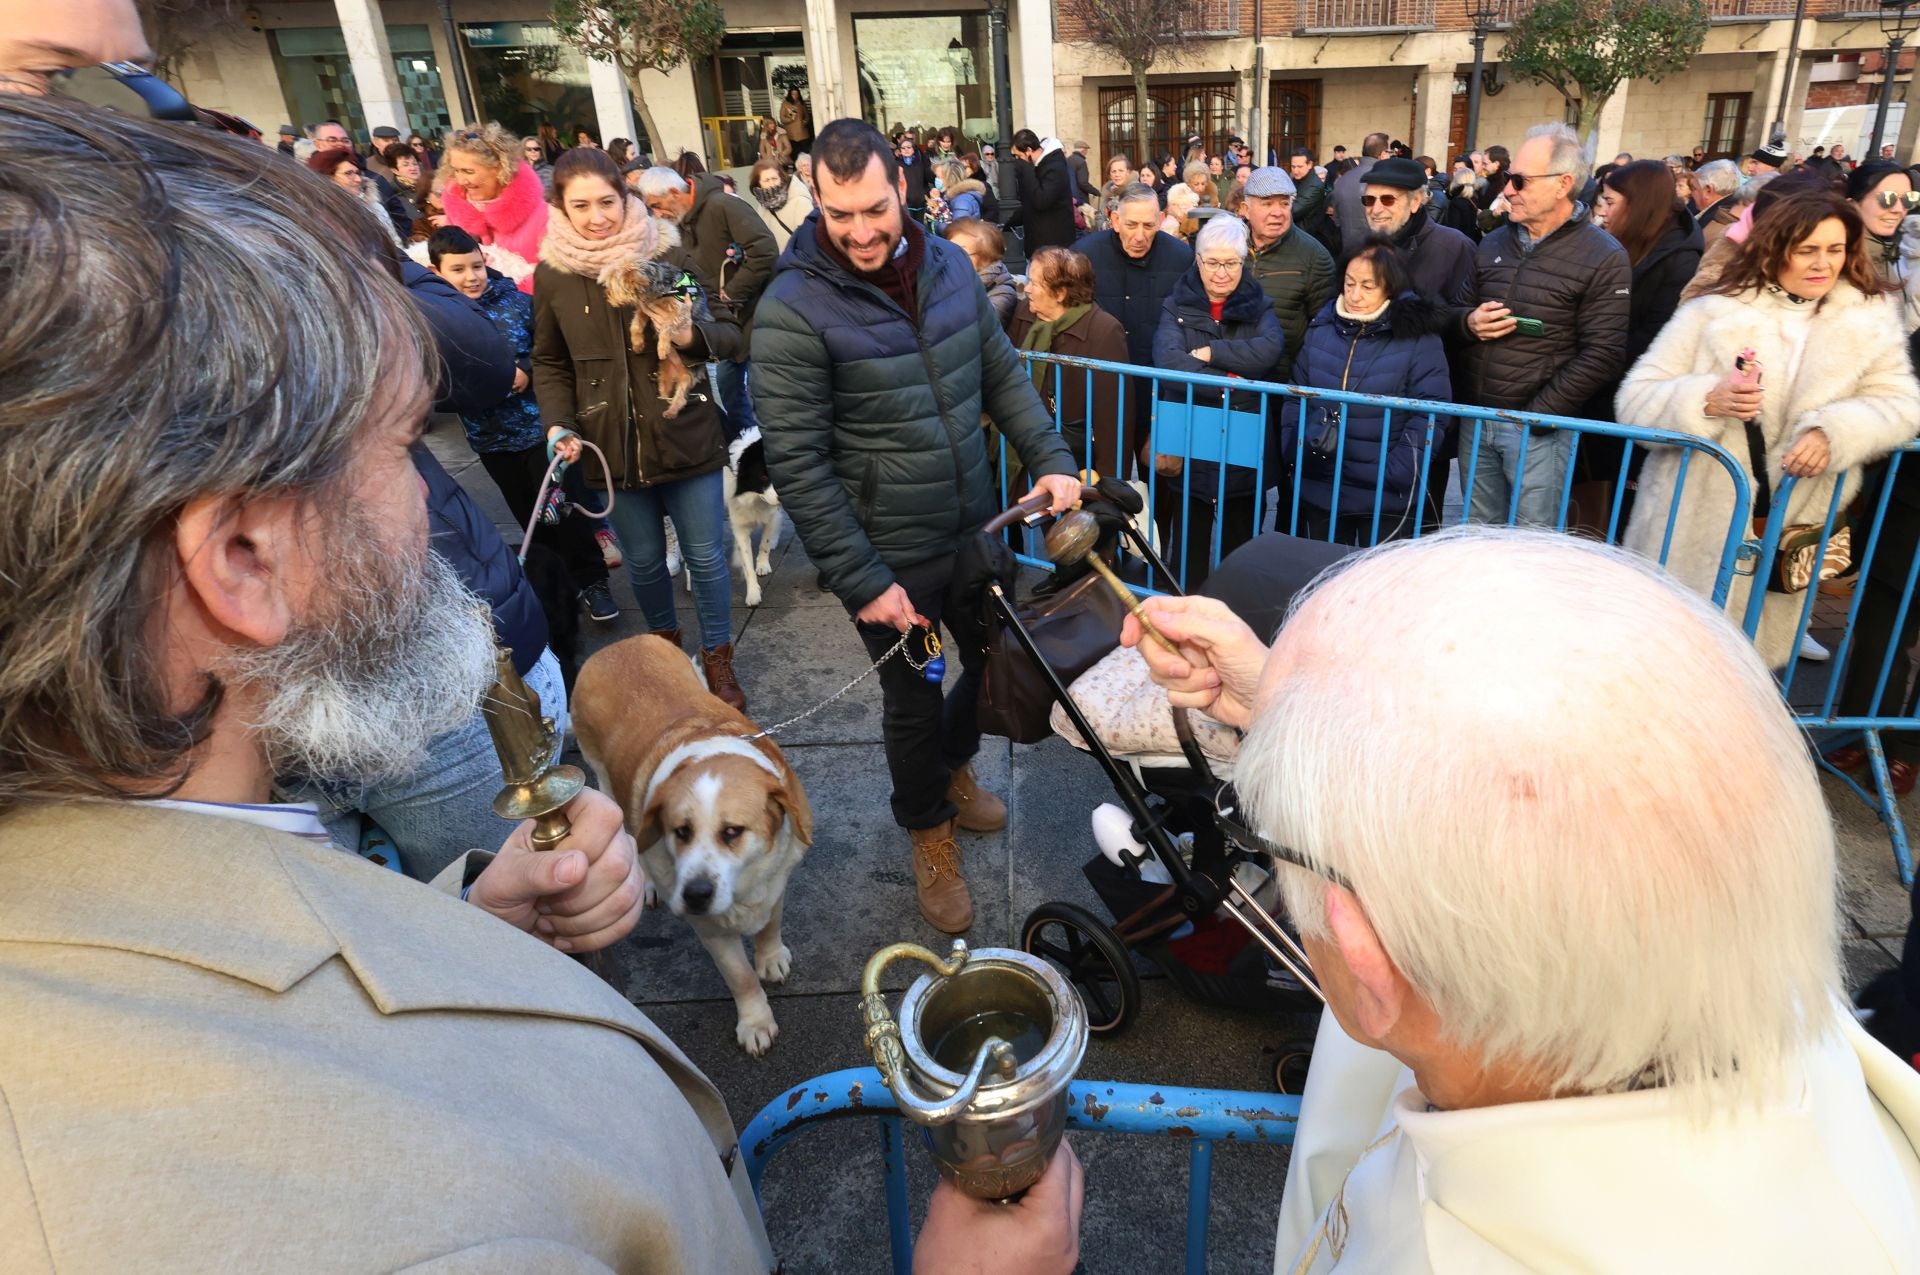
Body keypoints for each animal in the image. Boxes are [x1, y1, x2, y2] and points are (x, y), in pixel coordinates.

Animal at [568, 633, 810, 1052]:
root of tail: (617, 645)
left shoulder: (775, 882)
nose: (695, 894)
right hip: (607, 783)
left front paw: (770, 956)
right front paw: (755, 1021)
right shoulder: (711, 930)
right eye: (681, 831)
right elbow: (740, 976)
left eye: (732, 831)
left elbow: (770, 925)